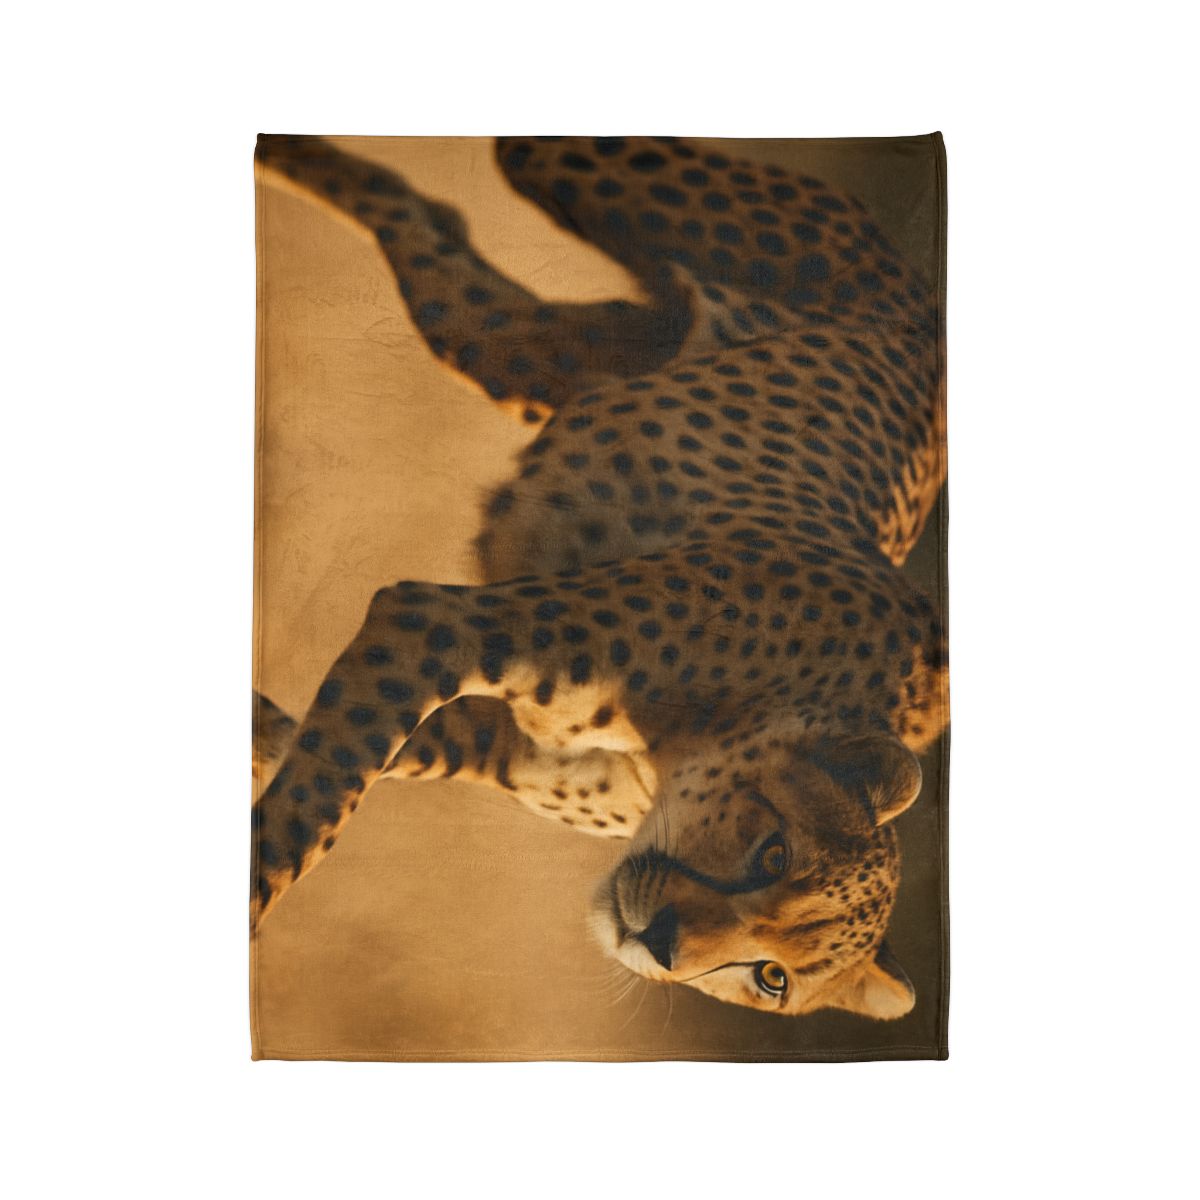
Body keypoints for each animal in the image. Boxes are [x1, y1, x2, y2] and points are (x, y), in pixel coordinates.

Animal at [253, 134, 947, 1019]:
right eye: (773, 853)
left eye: (771, 976)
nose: (663, 946)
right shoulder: (437, 623)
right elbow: (311, 816)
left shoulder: (482, 715)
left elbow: (352, 759)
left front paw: (262, 734)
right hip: (573, 176)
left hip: (515, 348)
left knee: (428, 225)